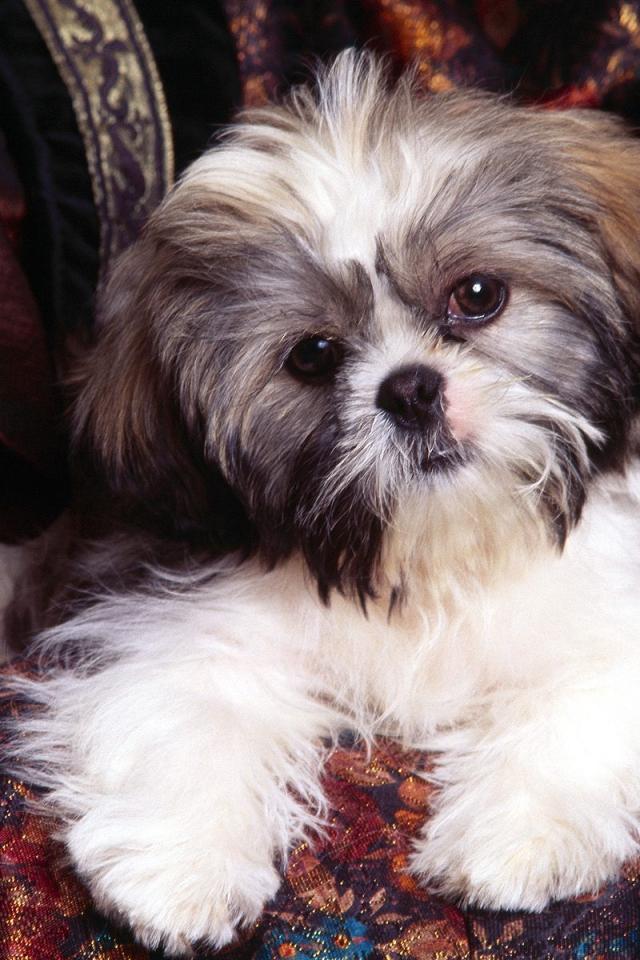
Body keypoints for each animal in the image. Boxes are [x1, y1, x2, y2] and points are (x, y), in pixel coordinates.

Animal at [8, 50, 640, 955]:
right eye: (312, 355)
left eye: (478, 295)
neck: (430, 554)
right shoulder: (164, 608)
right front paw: (180, 869)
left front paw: (513, 837)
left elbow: (582, 697)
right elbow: (186, 704)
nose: (410, 389)